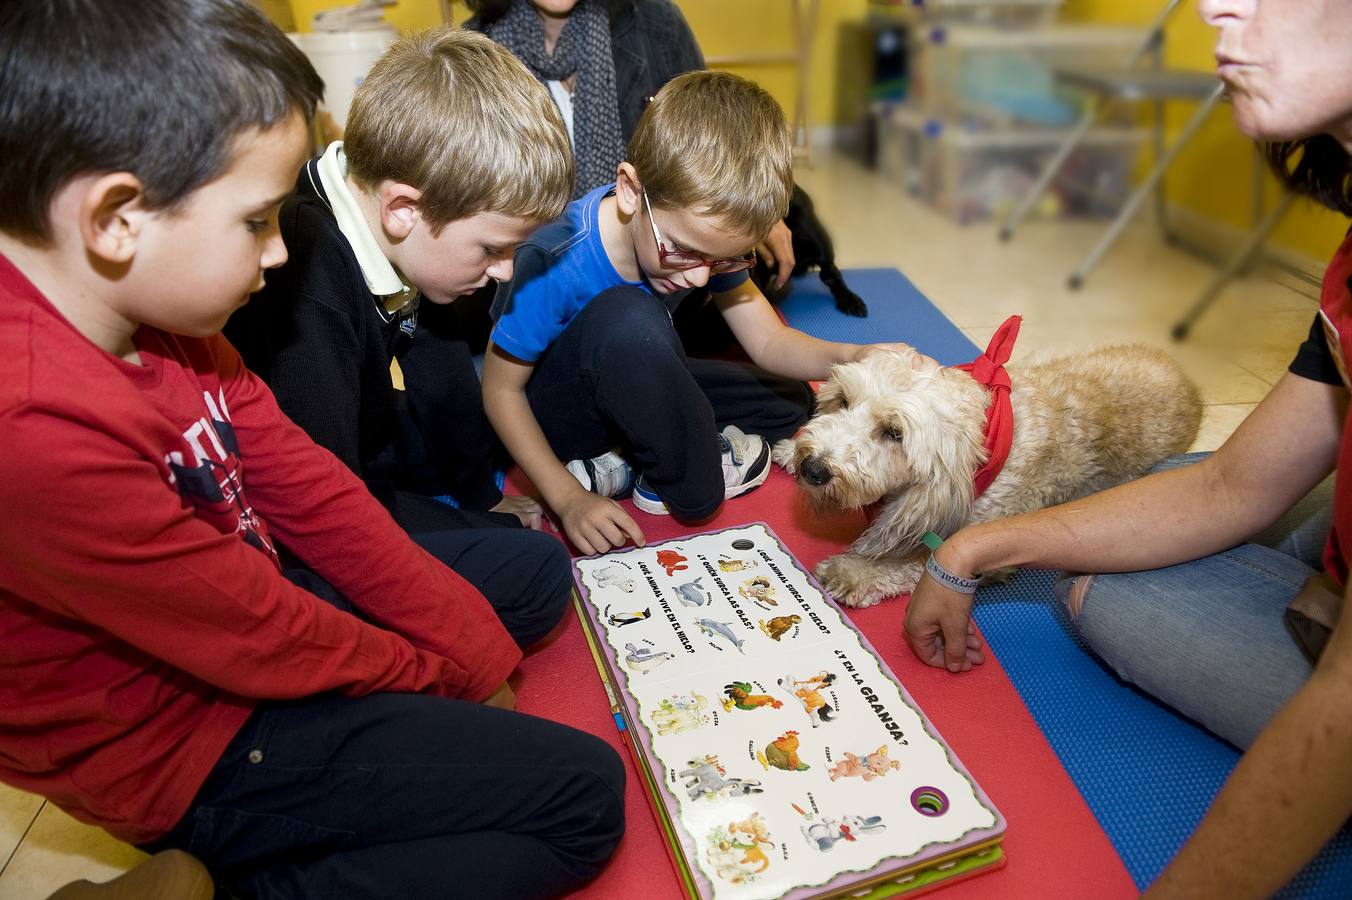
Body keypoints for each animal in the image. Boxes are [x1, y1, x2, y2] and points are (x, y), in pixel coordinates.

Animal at [778, 341, 1200, 602]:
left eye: (894, 432)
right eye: (843, 401)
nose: (813, 467)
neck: (983, 446)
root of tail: (1191, 387)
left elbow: (913, 563)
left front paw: (856, 572)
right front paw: (785, 450)